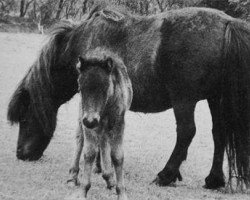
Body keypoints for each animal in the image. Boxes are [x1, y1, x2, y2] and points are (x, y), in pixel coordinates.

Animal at [71, 48, 133, 200]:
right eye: (80, 88)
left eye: (105, 88)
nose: (90, 120)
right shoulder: (88, 123)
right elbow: (89, 153)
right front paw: (83, 191)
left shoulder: (118, 123)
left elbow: (117, 156)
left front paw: (121, 192)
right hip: (83, 116)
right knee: (80, 138)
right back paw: (72, 176)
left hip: (104, 125)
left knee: (104, 141)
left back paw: (109, 177)